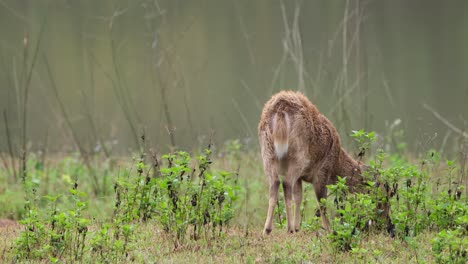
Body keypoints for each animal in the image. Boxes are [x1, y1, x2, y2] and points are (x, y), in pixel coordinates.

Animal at [258, 91, 390, 235]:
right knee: (286, 184)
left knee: (275, 184)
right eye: (382, 198)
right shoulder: (323, 171)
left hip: (267, 151)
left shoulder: (300, 177)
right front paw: (329, 230)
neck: (336, 165)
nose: (385, 223)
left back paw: (268, 229)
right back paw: (289, 229)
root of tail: (280, 109)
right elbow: (322, 203)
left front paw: (298, 227)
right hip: (298, 155)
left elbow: (299, 197)